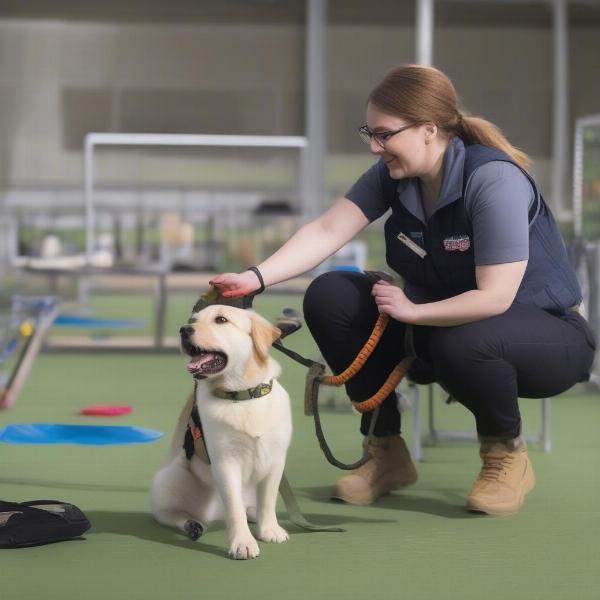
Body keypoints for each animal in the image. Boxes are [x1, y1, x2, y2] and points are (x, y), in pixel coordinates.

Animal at [150, 308, 290, 560]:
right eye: (193, 320)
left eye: (221, 320)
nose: (184, 329)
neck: (242, 396)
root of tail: (214, 515)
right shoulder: (226, 462)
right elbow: (234, 509)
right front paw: (243, 543)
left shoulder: (276, 460)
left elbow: (268, 501)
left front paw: (270, 530)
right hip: (170, 478)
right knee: (167, 514)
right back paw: (193, 524)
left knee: (250, 507)